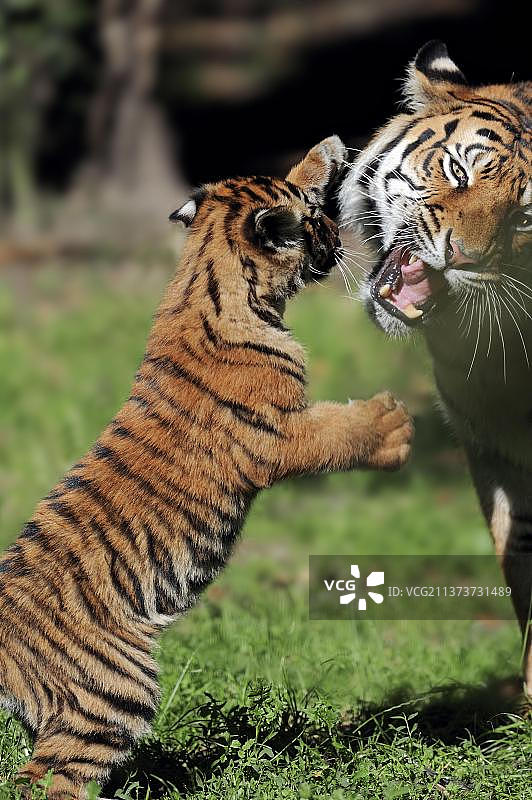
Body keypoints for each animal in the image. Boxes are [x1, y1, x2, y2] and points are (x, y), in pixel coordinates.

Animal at [0, 135, 413, 799]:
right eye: (316, 221)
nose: (341, 234)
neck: (207, 272)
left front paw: (323, 153)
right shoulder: (278, 436)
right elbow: (337, 432)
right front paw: (394, 426)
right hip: (112, 694)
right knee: (46, 781)